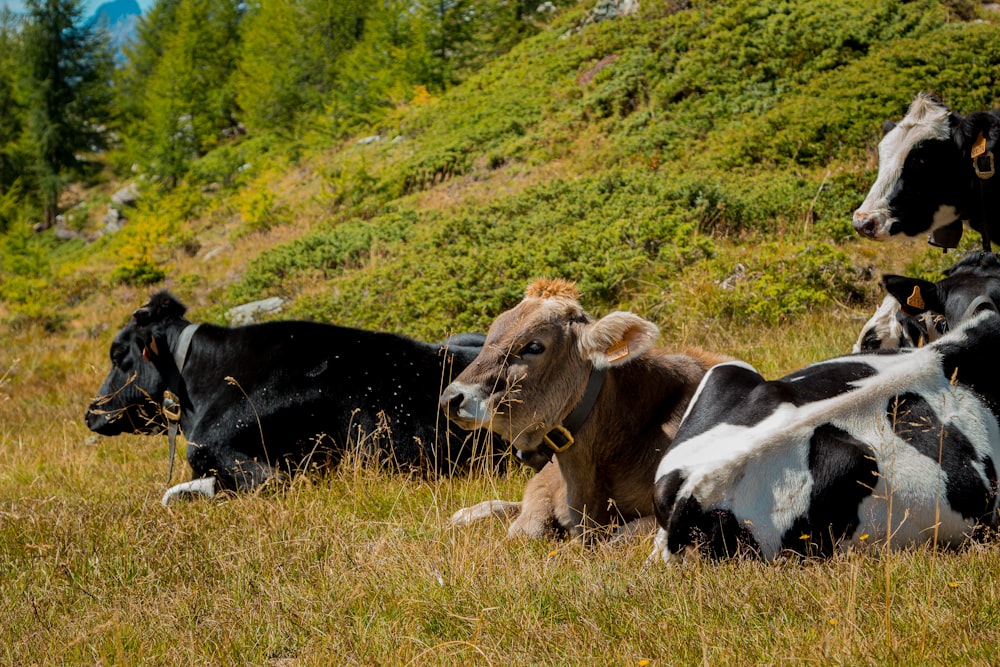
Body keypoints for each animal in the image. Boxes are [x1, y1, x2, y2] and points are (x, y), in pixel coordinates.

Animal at [442, 280, 724, 540]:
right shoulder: (546, 481)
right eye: (490, 335)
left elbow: (620, 538)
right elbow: (526, 529)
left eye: (534, 346)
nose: (451, 398)